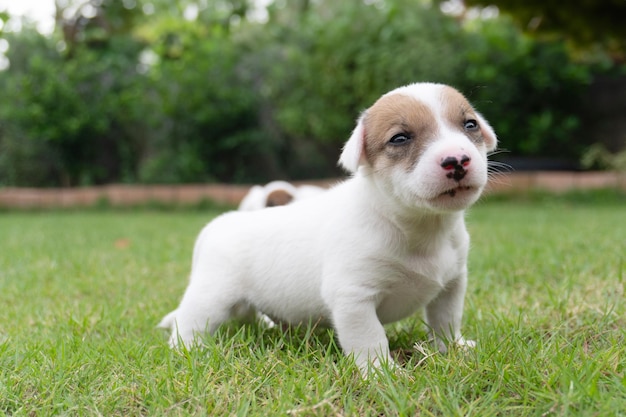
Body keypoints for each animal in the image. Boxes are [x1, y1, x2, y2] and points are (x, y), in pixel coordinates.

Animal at [160, 80, 498, 370]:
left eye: (470, 125)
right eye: (400, 138)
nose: (457, 160)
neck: (417, 226)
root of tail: (216, 225)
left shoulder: (452, 286)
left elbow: (446, 321)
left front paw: (453, 349)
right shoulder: (353, 299)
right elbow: (370, 340)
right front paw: (383, 374)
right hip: (210, 298)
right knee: (187, 324)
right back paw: (189, 351)